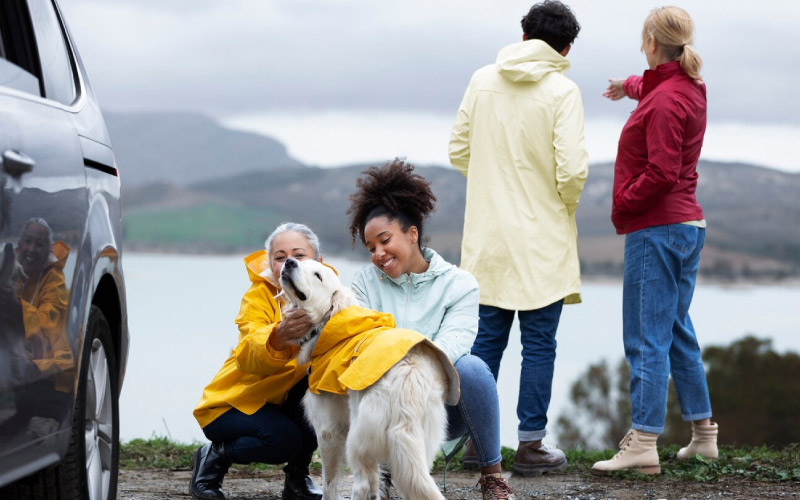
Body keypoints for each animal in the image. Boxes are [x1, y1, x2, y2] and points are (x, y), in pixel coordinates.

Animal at [276, 258, 460, 500]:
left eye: (318, 275)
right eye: (302, 262)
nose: (289, 261)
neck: (326, 324)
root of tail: (409, 376)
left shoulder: (328, 430)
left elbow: (329, 482)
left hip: (358, 439)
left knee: (362, 483)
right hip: (419, 442)